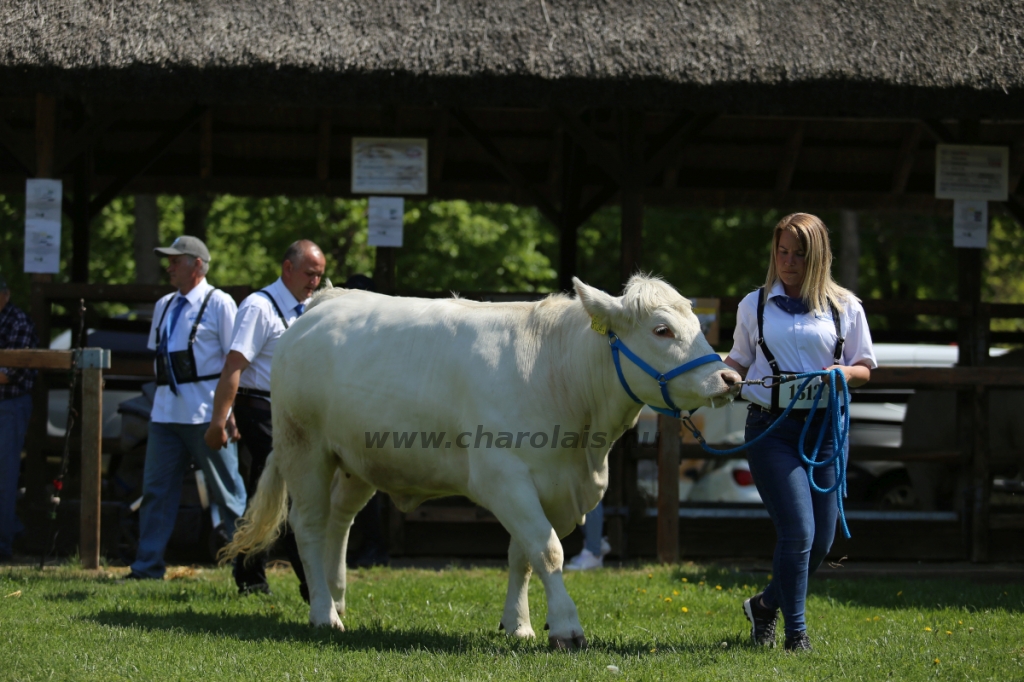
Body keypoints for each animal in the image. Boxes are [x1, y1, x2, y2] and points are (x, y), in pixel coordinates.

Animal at [224, 274, 741, 647]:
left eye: (697, 325)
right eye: (662, 329)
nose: (730, 378)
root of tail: (325, 300)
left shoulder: (550, 487)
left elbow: (523, 555)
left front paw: (520, 625)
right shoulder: (503, 478)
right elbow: (548, 550)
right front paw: (566, 627)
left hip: (356, 460)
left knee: (339, 521)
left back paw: (336, 598)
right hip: (304, 446)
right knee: (309, 525)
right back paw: (323, 614)